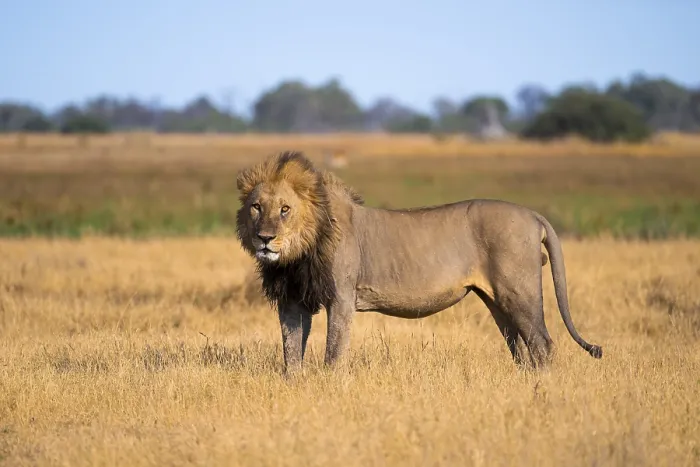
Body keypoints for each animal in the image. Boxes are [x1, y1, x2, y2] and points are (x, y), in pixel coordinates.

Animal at [235, 151, 602, 374]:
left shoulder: (341, 297)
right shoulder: (291, 300)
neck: (296, 256)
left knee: (541, 343)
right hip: (497, 300)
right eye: (256, 207)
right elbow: (291, 351)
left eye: (285, 209)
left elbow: (334, 350)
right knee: (520, 346)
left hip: (519, 292)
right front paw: (294, 384)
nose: (264, 238)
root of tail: (533, 214)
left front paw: (330, 385)